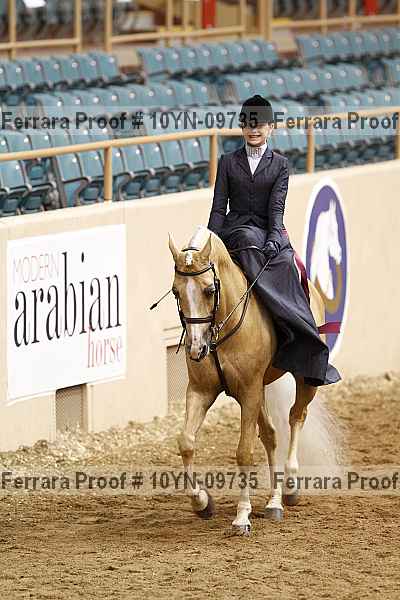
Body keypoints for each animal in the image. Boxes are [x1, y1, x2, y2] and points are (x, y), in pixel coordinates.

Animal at [168, 224, 327, 535]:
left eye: (209, 290)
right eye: (175, 291)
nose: (195, 348)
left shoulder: (249, 393)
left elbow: (243, 452)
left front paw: (242, 516)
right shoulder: (201, 391)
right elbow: (187, 442)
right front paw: (202, 503)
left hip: (304, 379)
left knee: (295, 417)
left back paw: (290, 488)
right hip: (261, 391)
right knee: (271, 435)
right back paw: (274, 502)